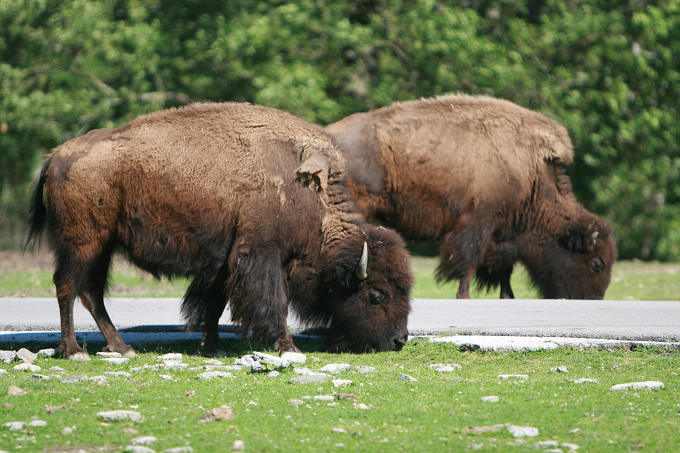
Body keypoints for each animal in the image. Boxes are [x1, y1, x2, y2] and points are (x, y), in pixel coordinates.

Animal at [26, 100, 412, 358]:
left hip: (102, 245)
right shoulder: (260, 255)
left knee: (91, 291)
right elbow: (275, 301)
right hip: (82, 241)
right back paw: (73, 350)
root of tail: (56, 156)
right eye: (376, 295)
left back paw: (121, 348)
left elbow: (213, 305)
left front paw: (212, 346)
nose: (399, 340)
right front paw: (287, 346)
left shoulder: (222, 262)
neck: (304, 193)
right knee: (68, 286)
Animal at [324, 95, 616, 298]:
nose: (590, 299)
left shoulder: (503, 234)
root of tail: (329, 136)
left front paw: (507, 296)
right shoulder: (477, 222)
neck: (532, 172)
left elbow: (502, 269)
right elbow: (467, 262)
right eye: (597, 264)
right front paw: (463, 295)